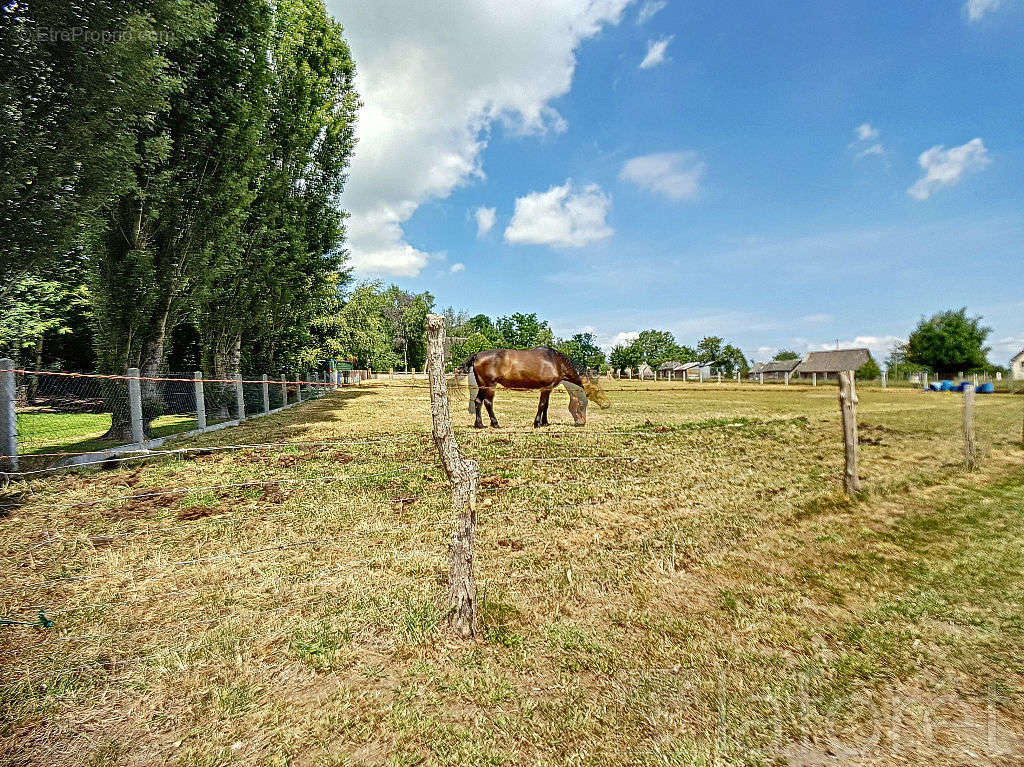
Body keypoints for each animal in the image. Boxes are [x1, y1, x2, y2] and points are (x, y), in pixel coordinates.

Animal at [462, 348, 598, 428]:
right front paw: (537, 423)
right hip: (489, 385)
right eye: (582, 405)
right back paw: (495, 423)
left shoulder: (548, 389)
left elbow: (546, 405)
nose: (582, 422)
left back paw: (479, 424)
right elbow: (542, 405)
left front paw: (545, 422)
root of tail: (477, 355)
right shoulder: (546, 388)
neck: (556, 361)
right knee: (488, 403)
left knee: (478, 401)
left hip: (482, 386)